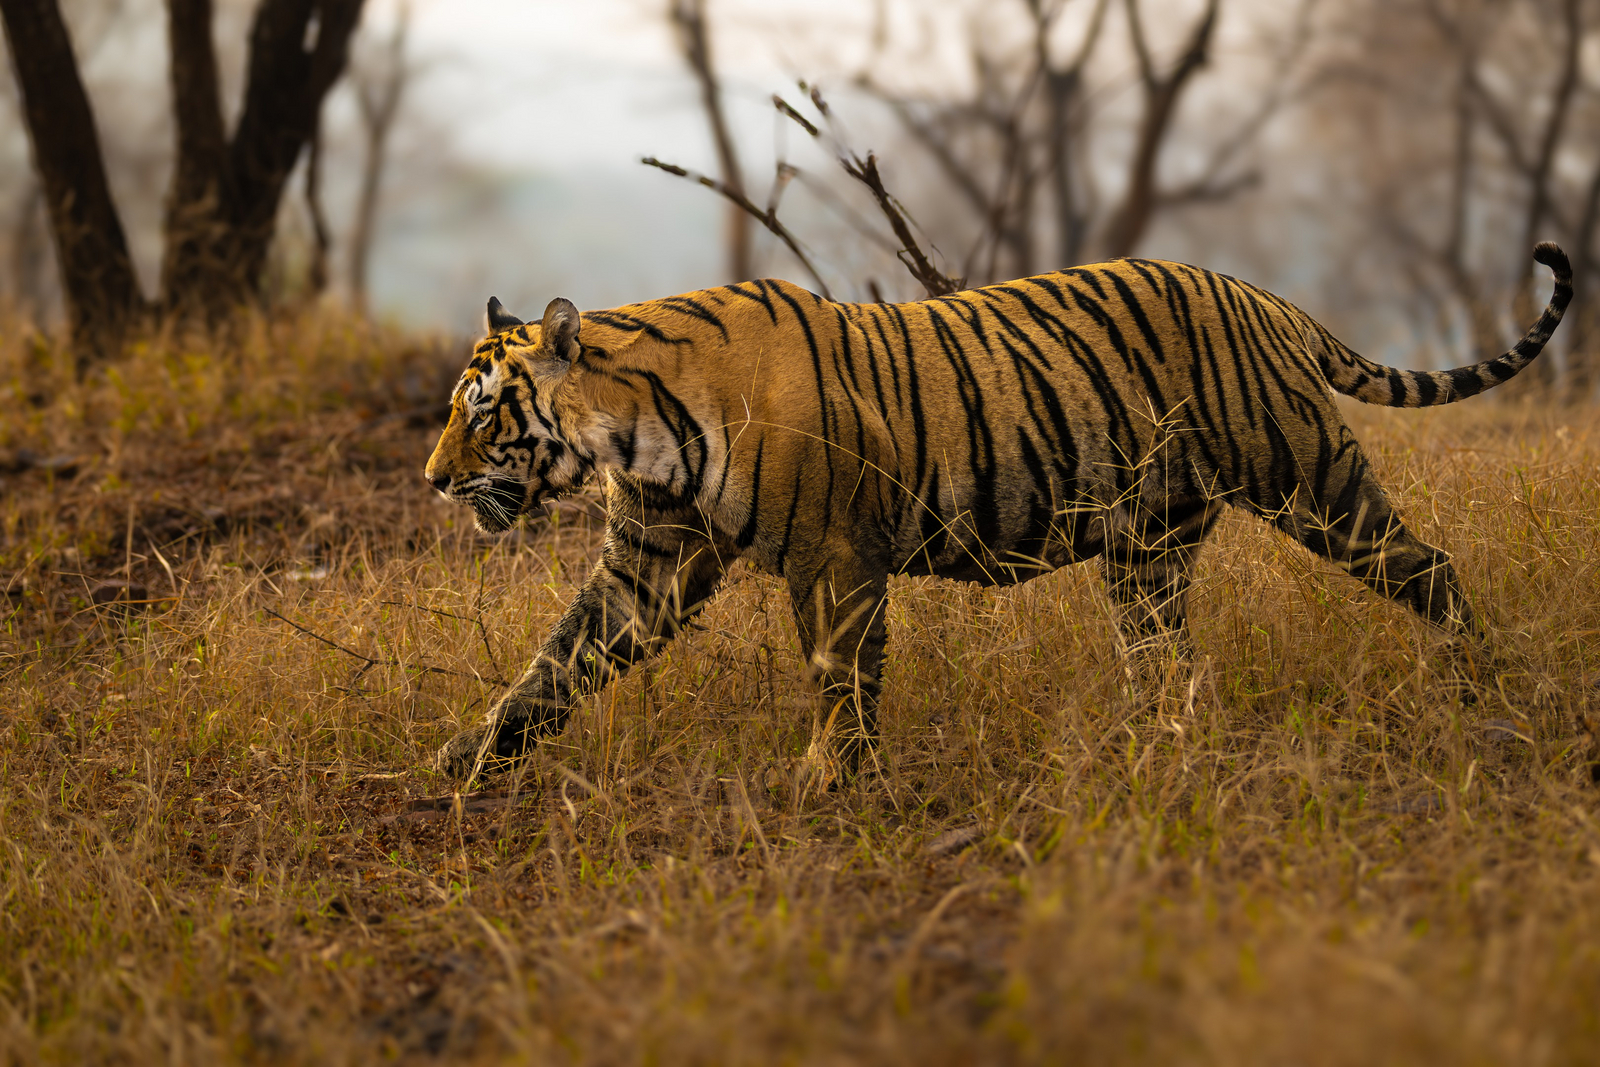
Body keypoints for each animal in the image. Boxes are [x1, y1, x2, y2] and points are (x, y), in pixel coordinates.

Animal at [424, 243, 1571, 782]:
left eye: (482, 410)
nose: (433, 479)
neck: (633, 431)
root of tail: (1263, 297)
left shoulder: (834, 559)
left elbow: (839, 675)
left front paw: (830, 779)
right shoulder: (649, 561)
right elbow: (554, 662)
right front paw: (468, 759)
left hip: (1308, 478)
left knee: (1427, 566)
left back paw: (1483, 682)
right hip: (1148, 549)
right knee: (1166, 657)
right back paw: (1155, 742)